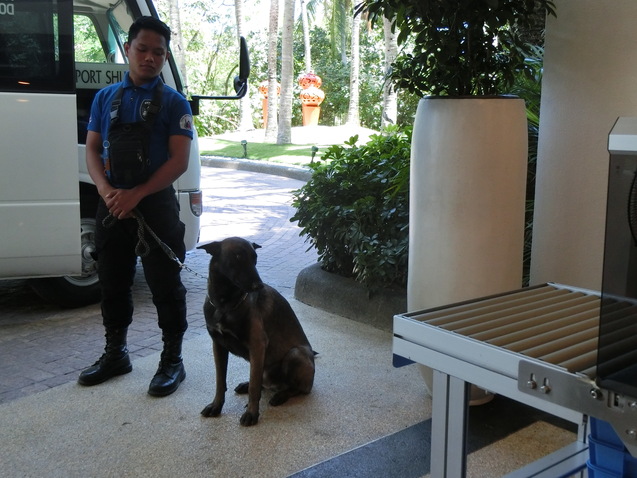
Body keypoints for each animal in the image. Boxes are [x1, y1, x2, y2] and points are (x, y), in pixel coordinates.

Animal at [198, 237, 314, 428]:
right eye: (237, 257)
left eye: (255, 258)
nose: (258, 286)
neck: (225, 305)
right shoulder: (218, 346)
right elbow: (220, 381)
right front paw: (216, 405)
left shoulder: (257, 346)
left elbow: (254, 386)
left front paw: (252, 413)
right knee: (260, 381)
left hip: (295, 354)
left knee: (296, 388)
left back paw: (280, 396)